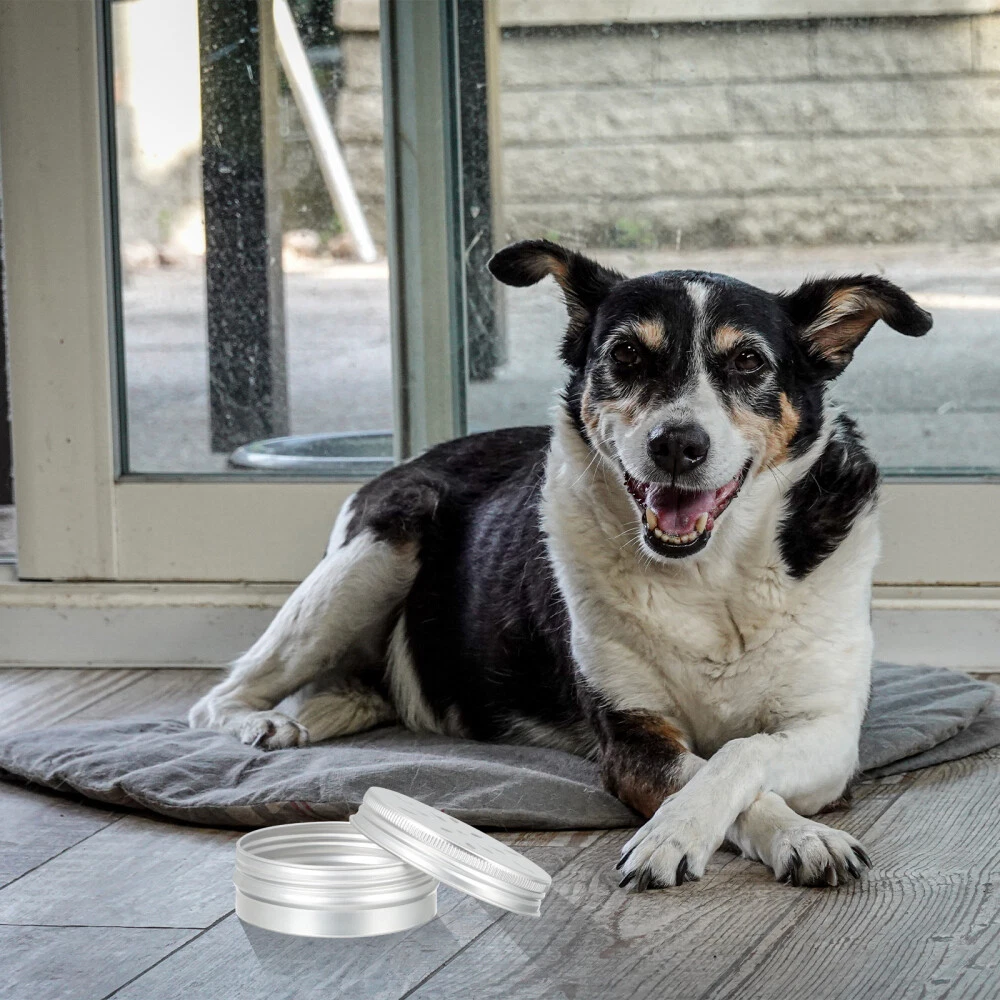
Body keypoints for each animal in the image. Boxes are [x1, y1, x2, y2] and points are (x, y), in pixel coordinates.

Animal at [191, 240, 932, 892]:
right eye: (626, 353)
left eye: (749, 361)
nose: (677, 444)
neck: (709, 574)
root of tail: (409, 462)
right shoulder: (632, 737)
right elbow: (707, 771)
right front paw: (686, 836)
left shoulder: (830, 731)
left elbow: (740, 752)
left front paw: (796, 836)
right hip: (376, 552)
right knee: (219, 698)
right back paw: (260, 723)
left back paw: (304, 721)